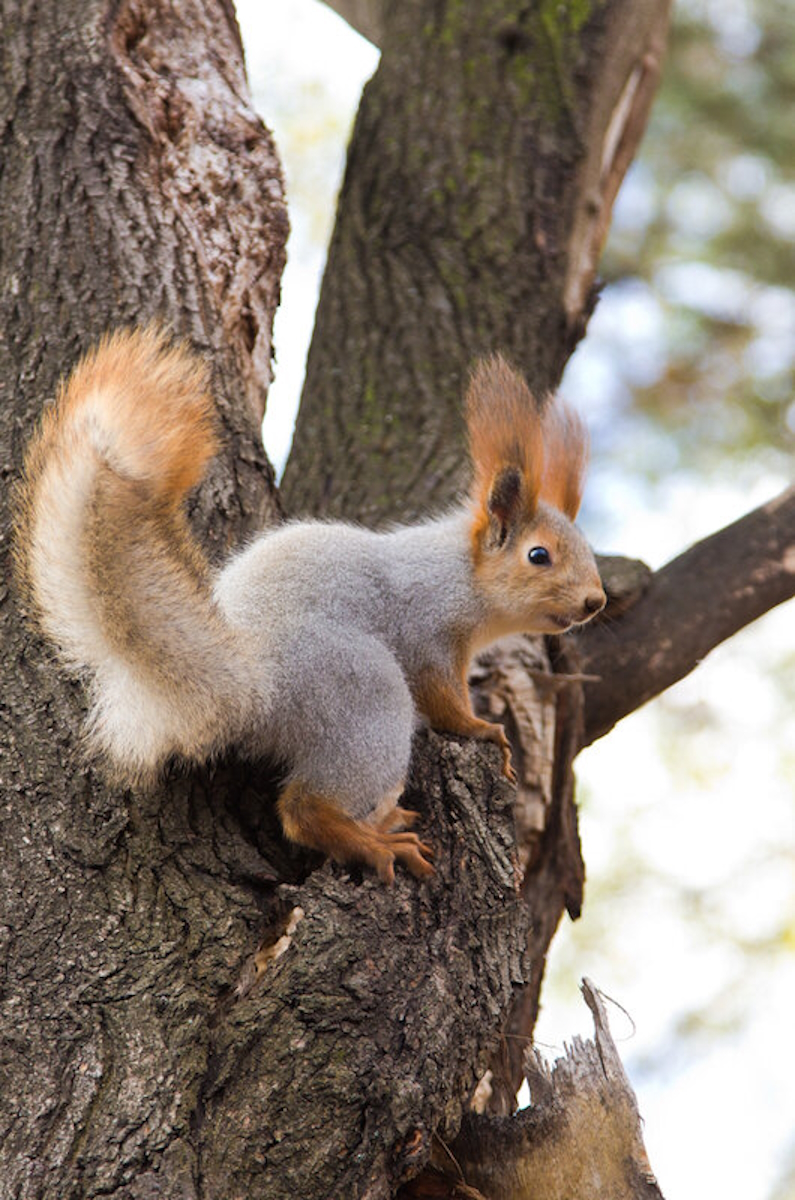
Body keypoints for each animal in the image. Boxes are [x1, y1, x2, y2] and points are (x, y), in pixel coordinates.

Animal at [15, 326, 607, 883]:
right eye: (539, 556)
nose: (595, 601)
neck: (460, 573)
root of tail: (255, 681)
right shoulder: (426, 631)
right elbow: (444, 700)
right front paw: (484, 730)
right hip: (364, 695)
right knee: (303, 809)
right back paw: (373, 842)